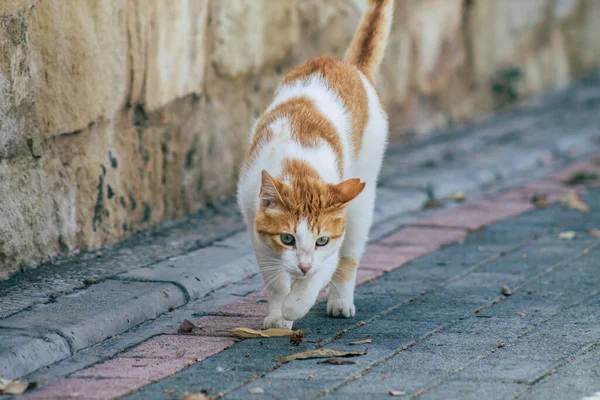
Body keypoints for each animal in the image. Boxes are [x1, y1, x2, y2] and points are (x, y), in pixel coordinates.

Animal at [237, 0, 396, 328]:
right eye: (287, 238)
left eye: (321, 240)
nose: (304, 265)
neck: (298, 166)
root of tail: (348, 64)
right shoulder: (257, 234)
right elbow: (276, 281)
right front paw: (277, 316)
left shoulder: (333, 241)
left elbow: (320, 274)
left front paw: (294, 306)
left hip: (361, 203)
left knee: (348, 260)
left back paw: (340, 302)